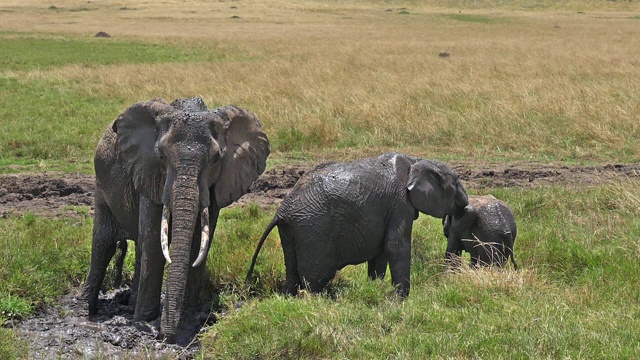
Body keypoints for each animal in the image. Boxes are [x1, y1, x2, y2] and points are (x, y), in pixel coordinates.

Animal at [83, 96, 270, 344]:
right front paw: (145, 322)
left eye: (216, 159)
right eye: (161, 156)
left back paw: (130, 304)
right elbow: (154, 243)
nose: (166, 338)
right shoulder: (149, 172)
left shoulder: (218, 183)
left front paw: (187, 321)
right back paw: (87, 308)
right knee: (105, 243)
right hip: (101, 184)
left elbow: (197, 245)